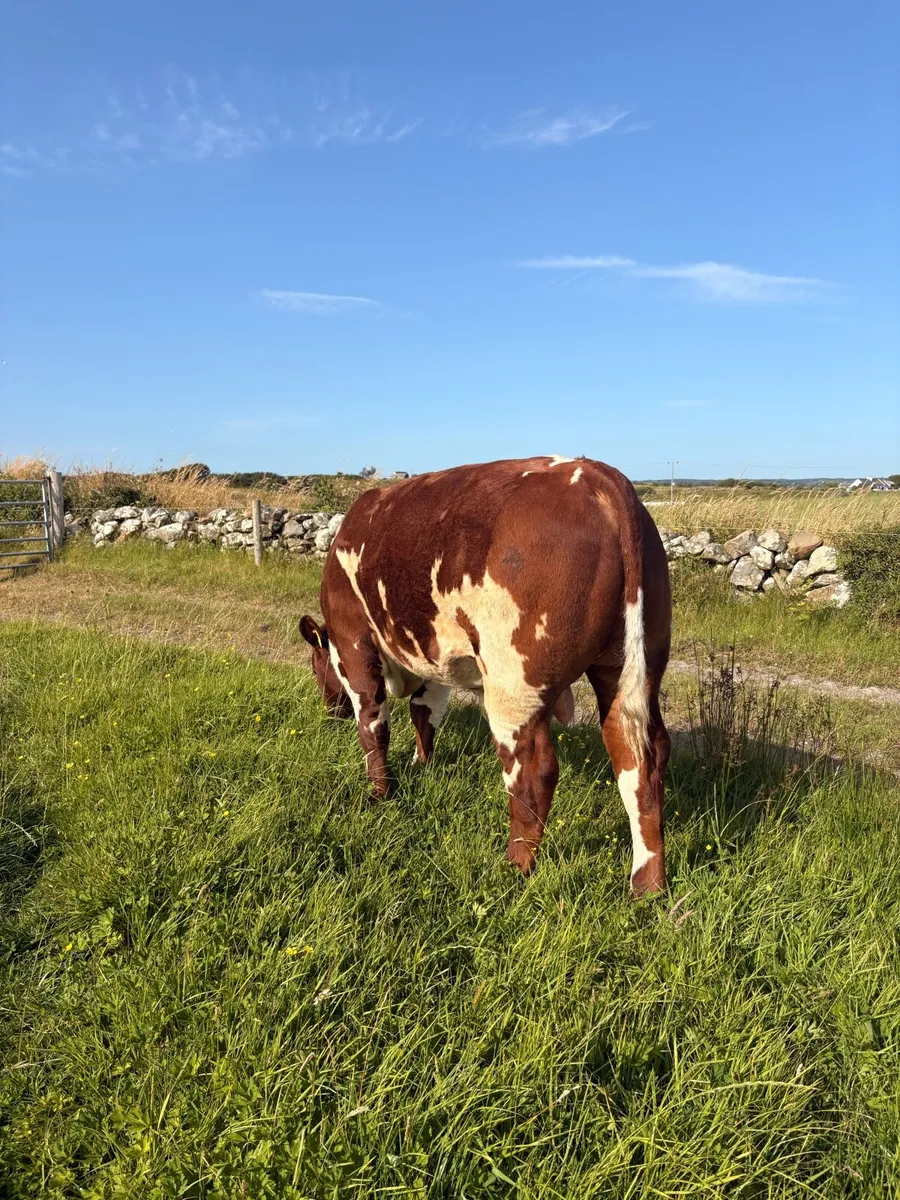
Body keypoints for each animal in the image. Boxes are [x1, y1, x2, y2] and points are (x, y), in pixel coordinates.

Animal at [300, 455, 671, 895]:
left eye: (315, 663)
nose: (330, 710)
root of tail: (601, 476)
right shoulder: (434, 655)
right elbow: (424, 713)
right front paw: (421, 766)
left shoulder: (353, 641)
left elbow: (374, 726)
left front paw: (379, 794)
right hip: (632, 668)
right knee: (639, 758)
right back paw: (647, 885)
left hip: (513, 681)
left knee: (534, 771)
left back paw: (515, 867)